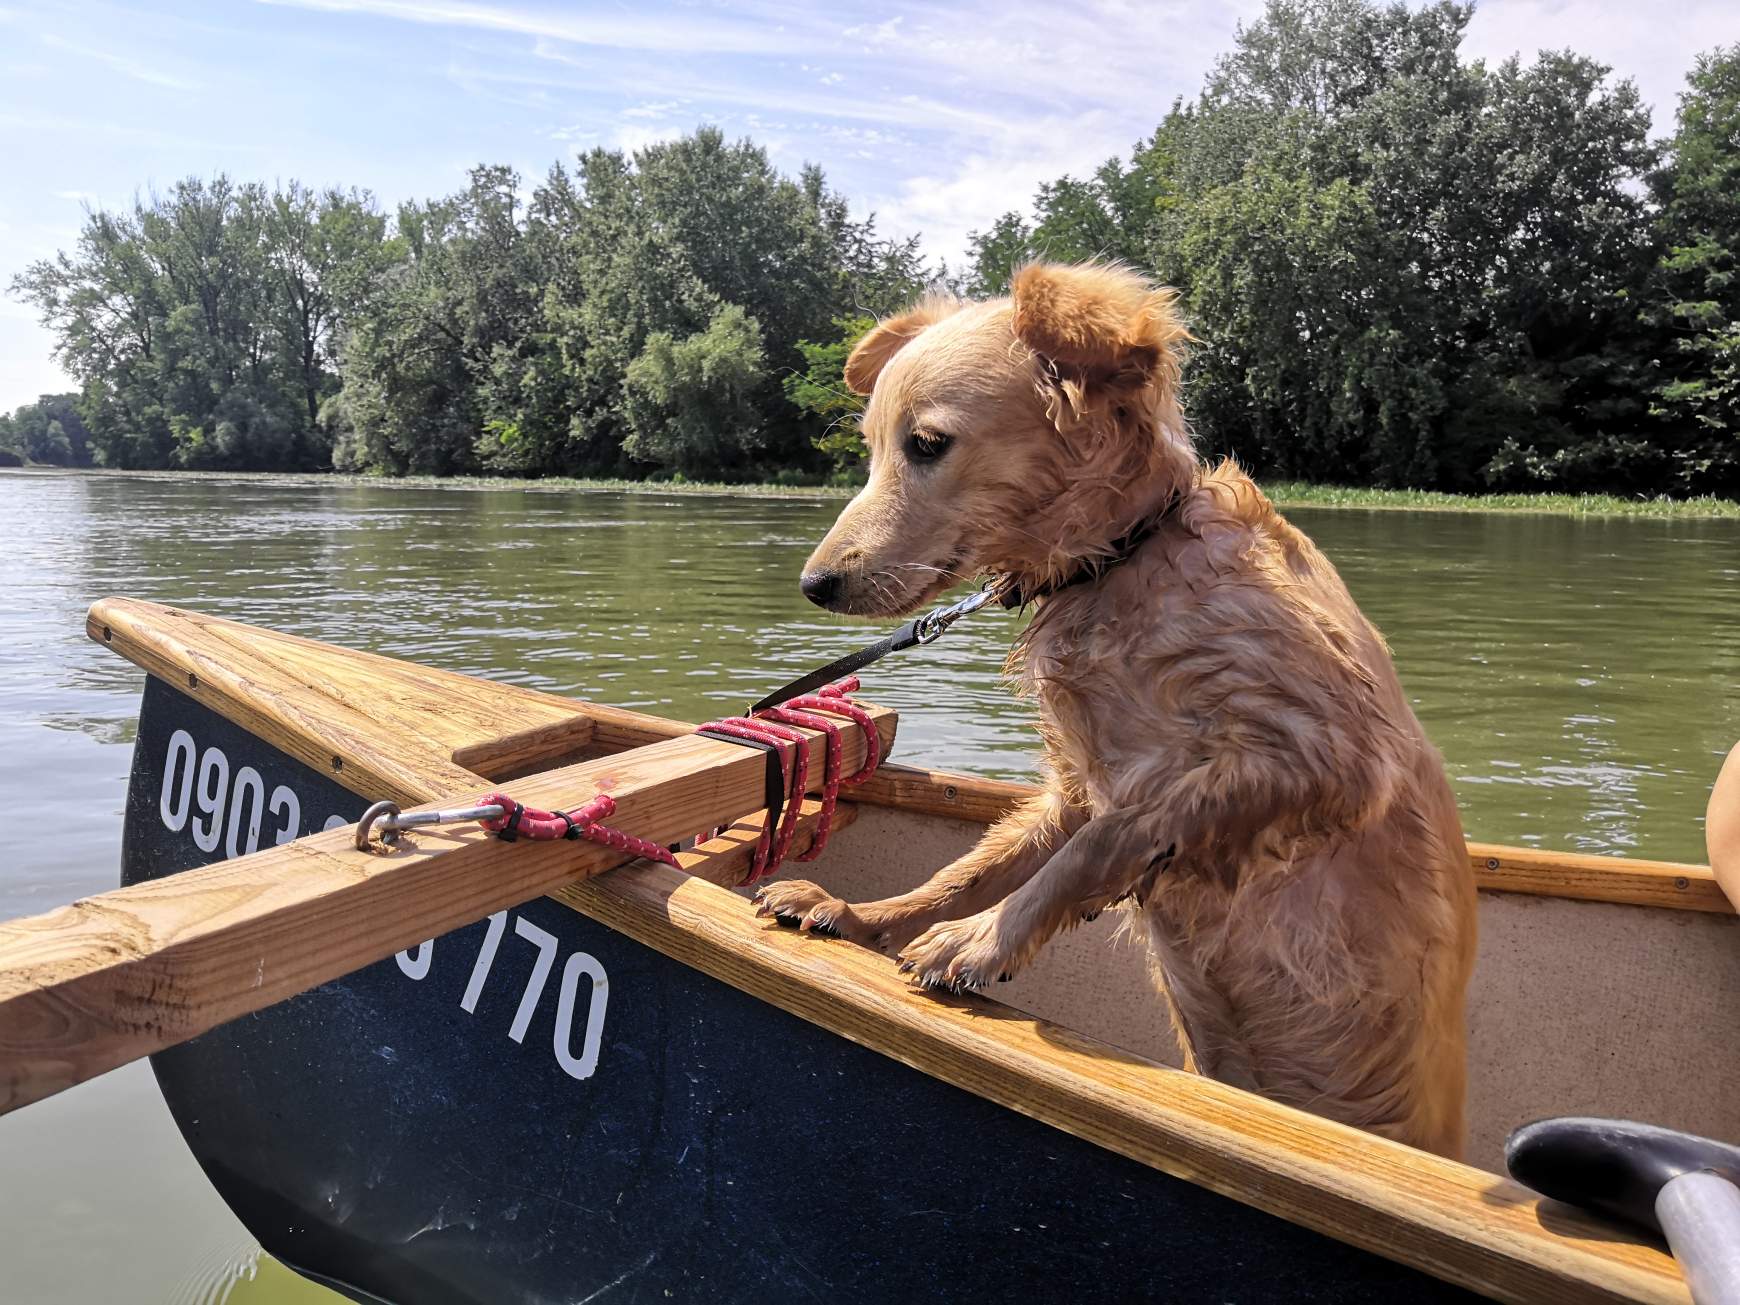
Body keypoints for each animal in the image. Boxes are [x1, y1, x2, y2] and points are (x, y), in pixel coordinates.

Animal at [755, 261, 1475, 1162]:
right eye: (873, 448)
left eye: (926, 444)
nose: (814, 584)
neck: (1124, 557)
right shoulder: (1073, 788)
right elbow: (973, 869)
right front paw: (866, 915)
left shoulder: (1323, 754)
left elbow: (1110, 839)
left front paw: (979, 938)